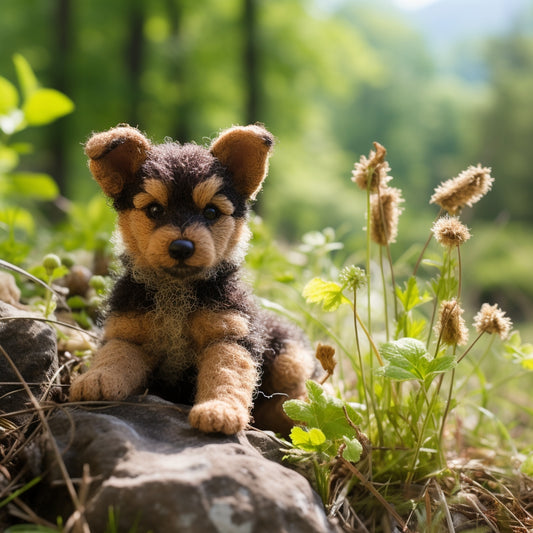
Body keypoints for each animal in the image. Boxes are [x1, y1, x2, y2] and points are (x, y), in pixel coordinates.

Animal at [67, 125, 316, 436]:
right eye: (154, 210)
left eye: (211, 212)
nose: (181, 248)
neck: (176, 290)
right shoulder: (127, 333)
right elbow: (114, 356)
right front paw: (96, 379)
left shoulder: (229, 335)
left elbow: (227, 373)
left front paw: (219, 410)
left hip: (288, 356)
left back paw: (301, 410)